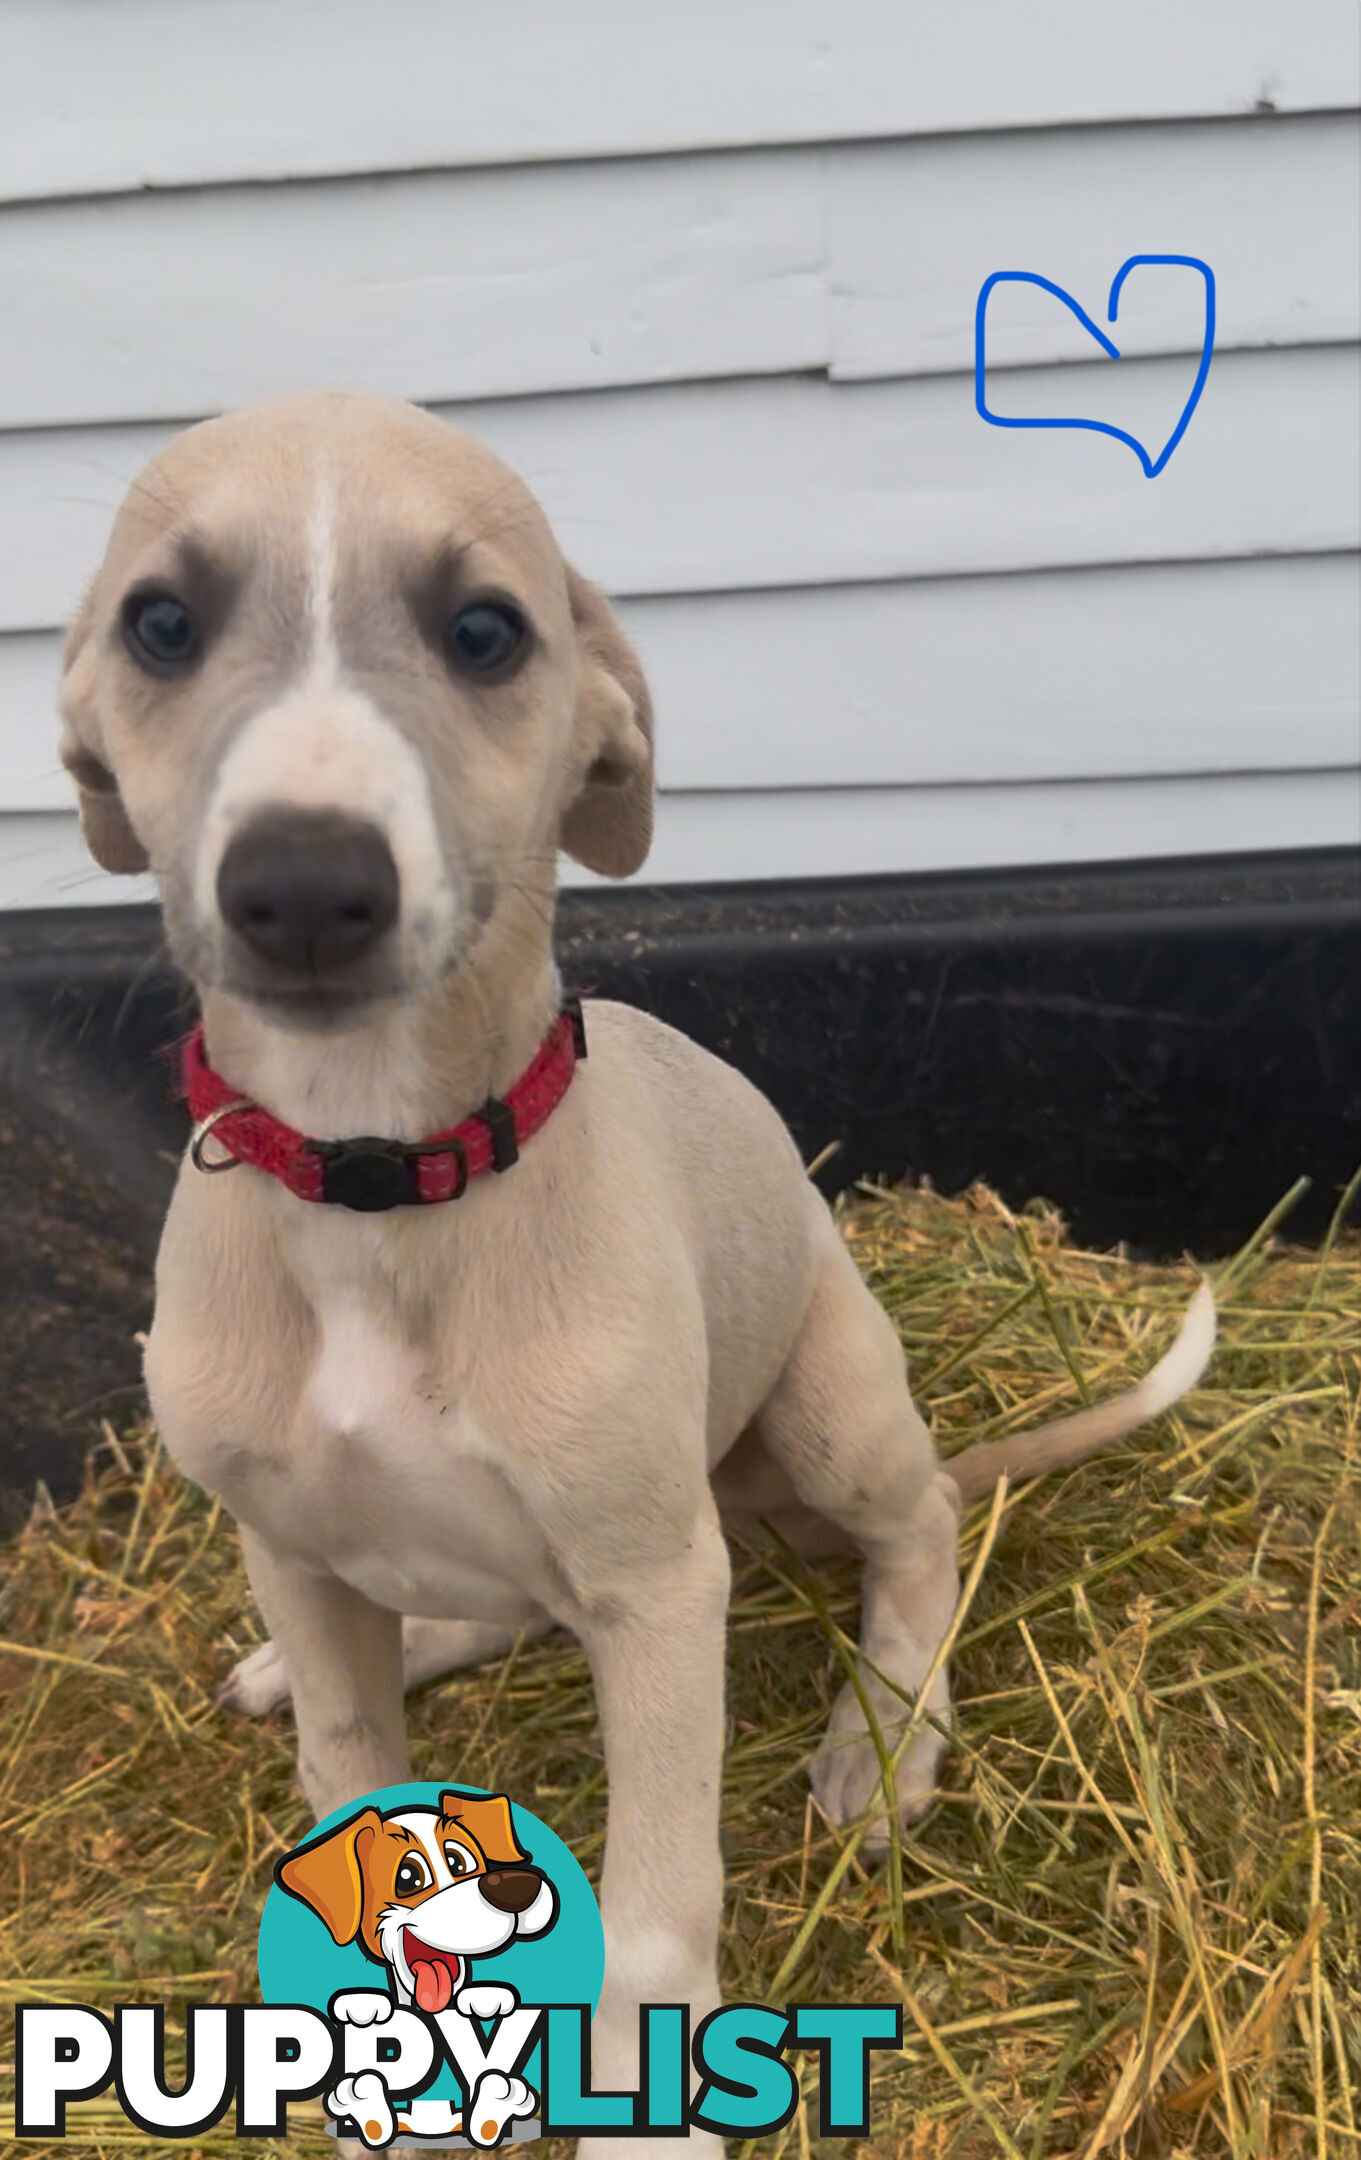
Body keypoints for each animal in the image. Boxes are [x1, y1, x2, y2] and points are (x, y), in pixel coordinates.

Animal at [61, 397, 1218, 2151]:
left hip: (825, 1411)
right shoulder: (296, 1552)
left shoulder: (660, 1589)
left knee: (923, 1535)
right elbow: (350, 1766)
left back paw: (888, 1742)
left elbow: (662, 1893)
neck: (376, 1172)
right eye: (162, 624)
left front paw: (642, 2093)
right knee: (477, 1610)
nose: (306, 887)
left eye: (485, 632)